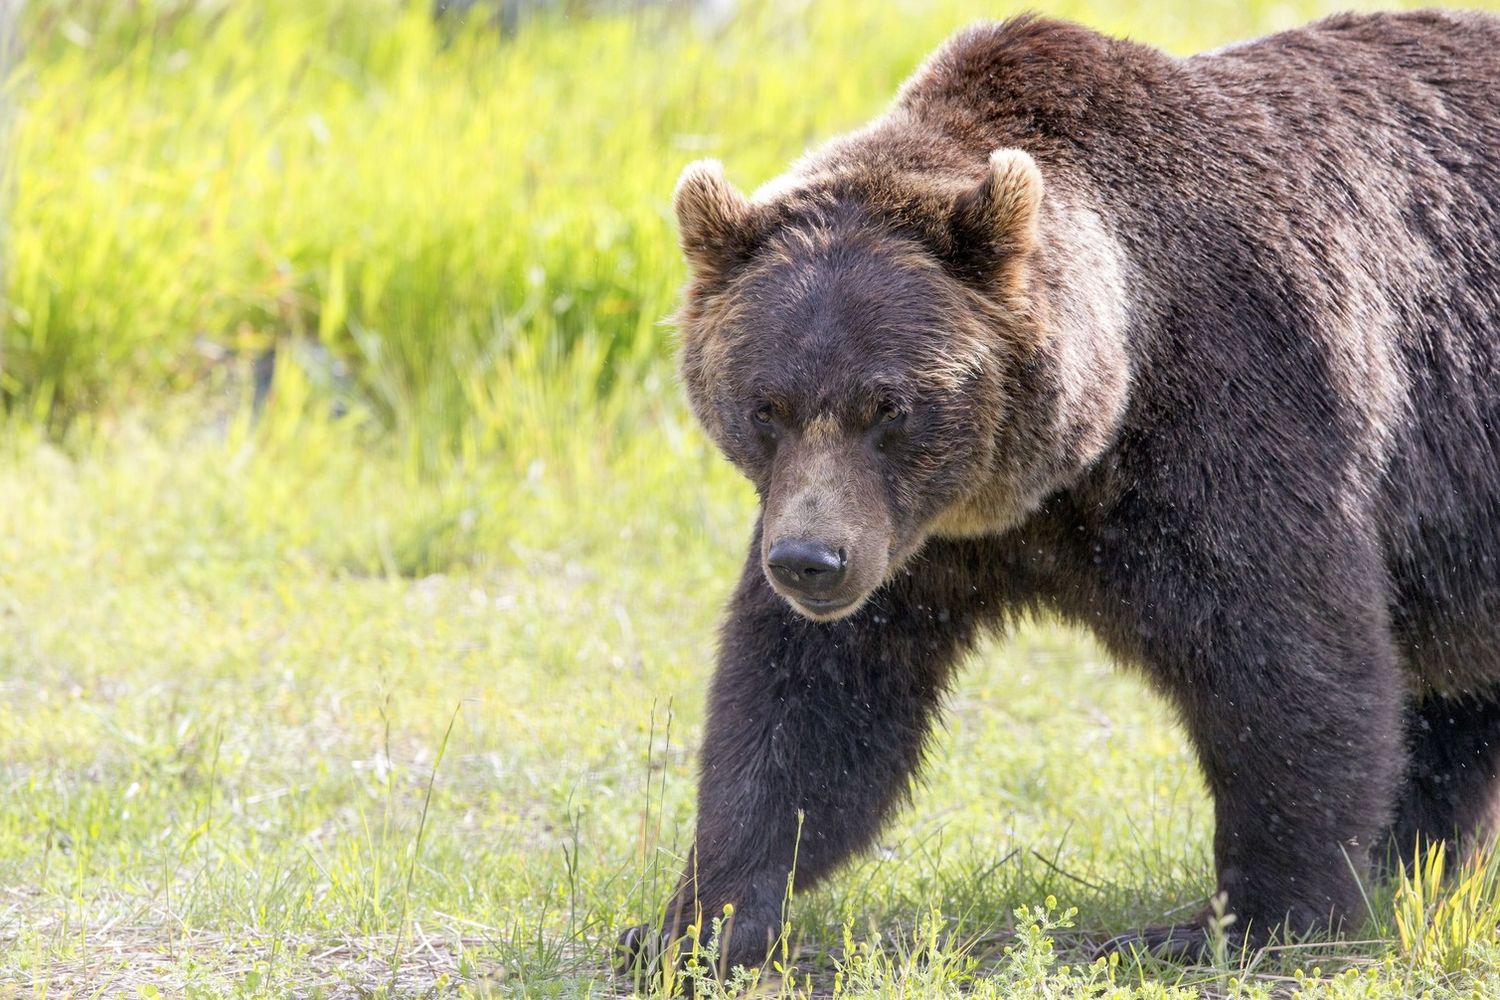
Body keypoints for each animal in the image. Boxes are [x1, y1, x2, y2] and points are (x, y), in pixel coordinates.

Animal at [621, 9, 1500, 973]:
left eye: (889, 405)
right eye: (765, 405)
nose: (810, 562)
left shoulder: (1239, 418)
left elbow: (1292, 667)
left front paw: (1249, 917)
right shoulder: (910, 543)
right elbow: (809, 704)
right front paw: (694, 921)